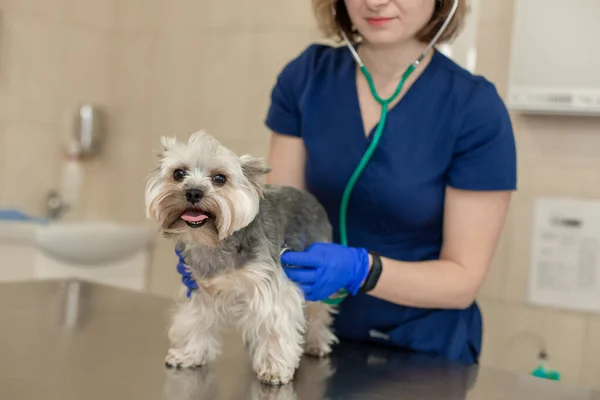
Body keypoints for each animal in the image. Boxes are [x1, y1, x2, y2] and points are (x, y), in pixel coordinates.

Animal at [143, 130, 336, 384]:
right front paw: (189, 353)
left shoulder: (270, 289)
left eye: (220, 178)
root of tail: (310, 197)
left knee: (319, 311)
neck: (214, 243)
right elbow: (195, 320)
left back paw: (317, 341)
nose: (193, 192)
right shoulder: (200, 289)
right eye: (178, 173)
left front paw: (274, 367)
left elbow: (275, 325)